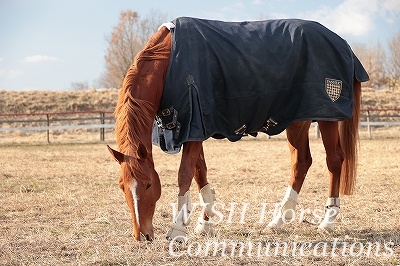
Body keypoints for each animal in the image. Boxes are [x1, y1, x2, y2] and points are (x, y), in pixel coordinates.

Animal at [107, 16, 368, 241]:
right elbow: (200, 173)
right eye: (122, 187)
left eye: (149, 184)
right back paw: (277, 221)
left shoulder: (193, 128)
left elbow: (184, 175)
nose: (142, 235)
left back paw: (327, 222)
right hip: (297, 120)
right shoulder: (195, 129)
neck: (169, 62)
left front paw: (178, 229)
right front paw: (206, 223)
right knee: (301, 162)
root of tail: (342, 44)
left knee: (334, 160)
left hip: (327, 116)